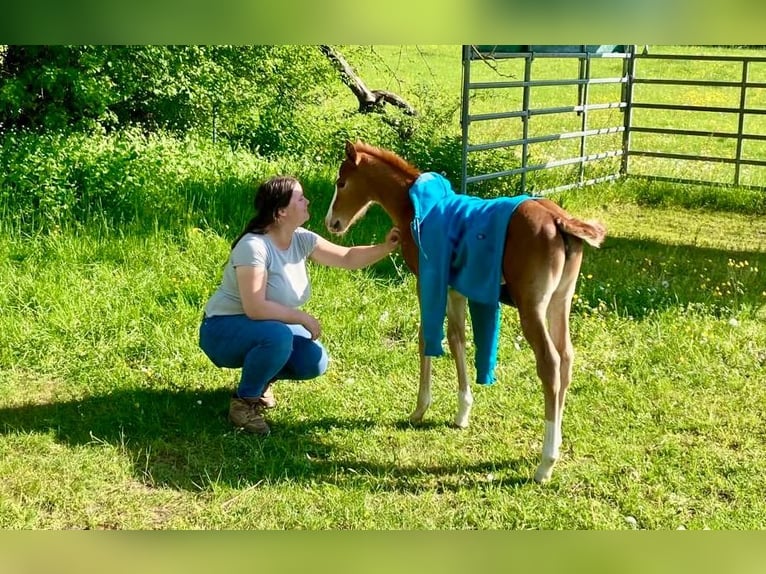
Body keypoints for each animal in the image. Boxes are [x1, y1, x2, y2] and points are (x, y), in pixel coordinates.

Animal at [324, 140, 606, 483]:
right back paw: (557, 443)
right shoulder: (456, 288)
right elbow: (457, 337)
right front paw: (462, 413)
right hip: (560, 301)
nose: (332, 223)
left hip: (532, 307)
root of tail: (557, 220)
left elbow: (427, 337)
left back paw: (545, 463)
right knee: (566, 357)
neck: (414, 207)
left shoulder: (428, 281)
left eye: (341, 182)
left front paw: (419, 409)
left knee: (550, 362)